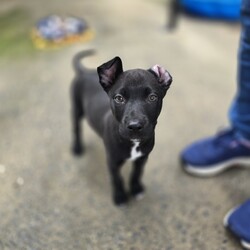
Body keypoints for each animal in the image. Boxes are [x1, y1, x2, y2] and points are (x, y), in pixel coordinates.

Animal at [70, 49, 172, 206]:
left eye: (152, 97)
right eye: (119, 98)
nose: (135, 126)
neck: (133, 143)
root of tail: (85, 72)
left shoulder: (142, 158)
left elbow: (136, 174)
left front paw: (136, 189)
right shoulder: (112, 161)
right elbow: (117, 179)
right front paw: (119, 196)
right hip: (77, 108)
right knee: (76, 128)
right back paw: (77, 147)